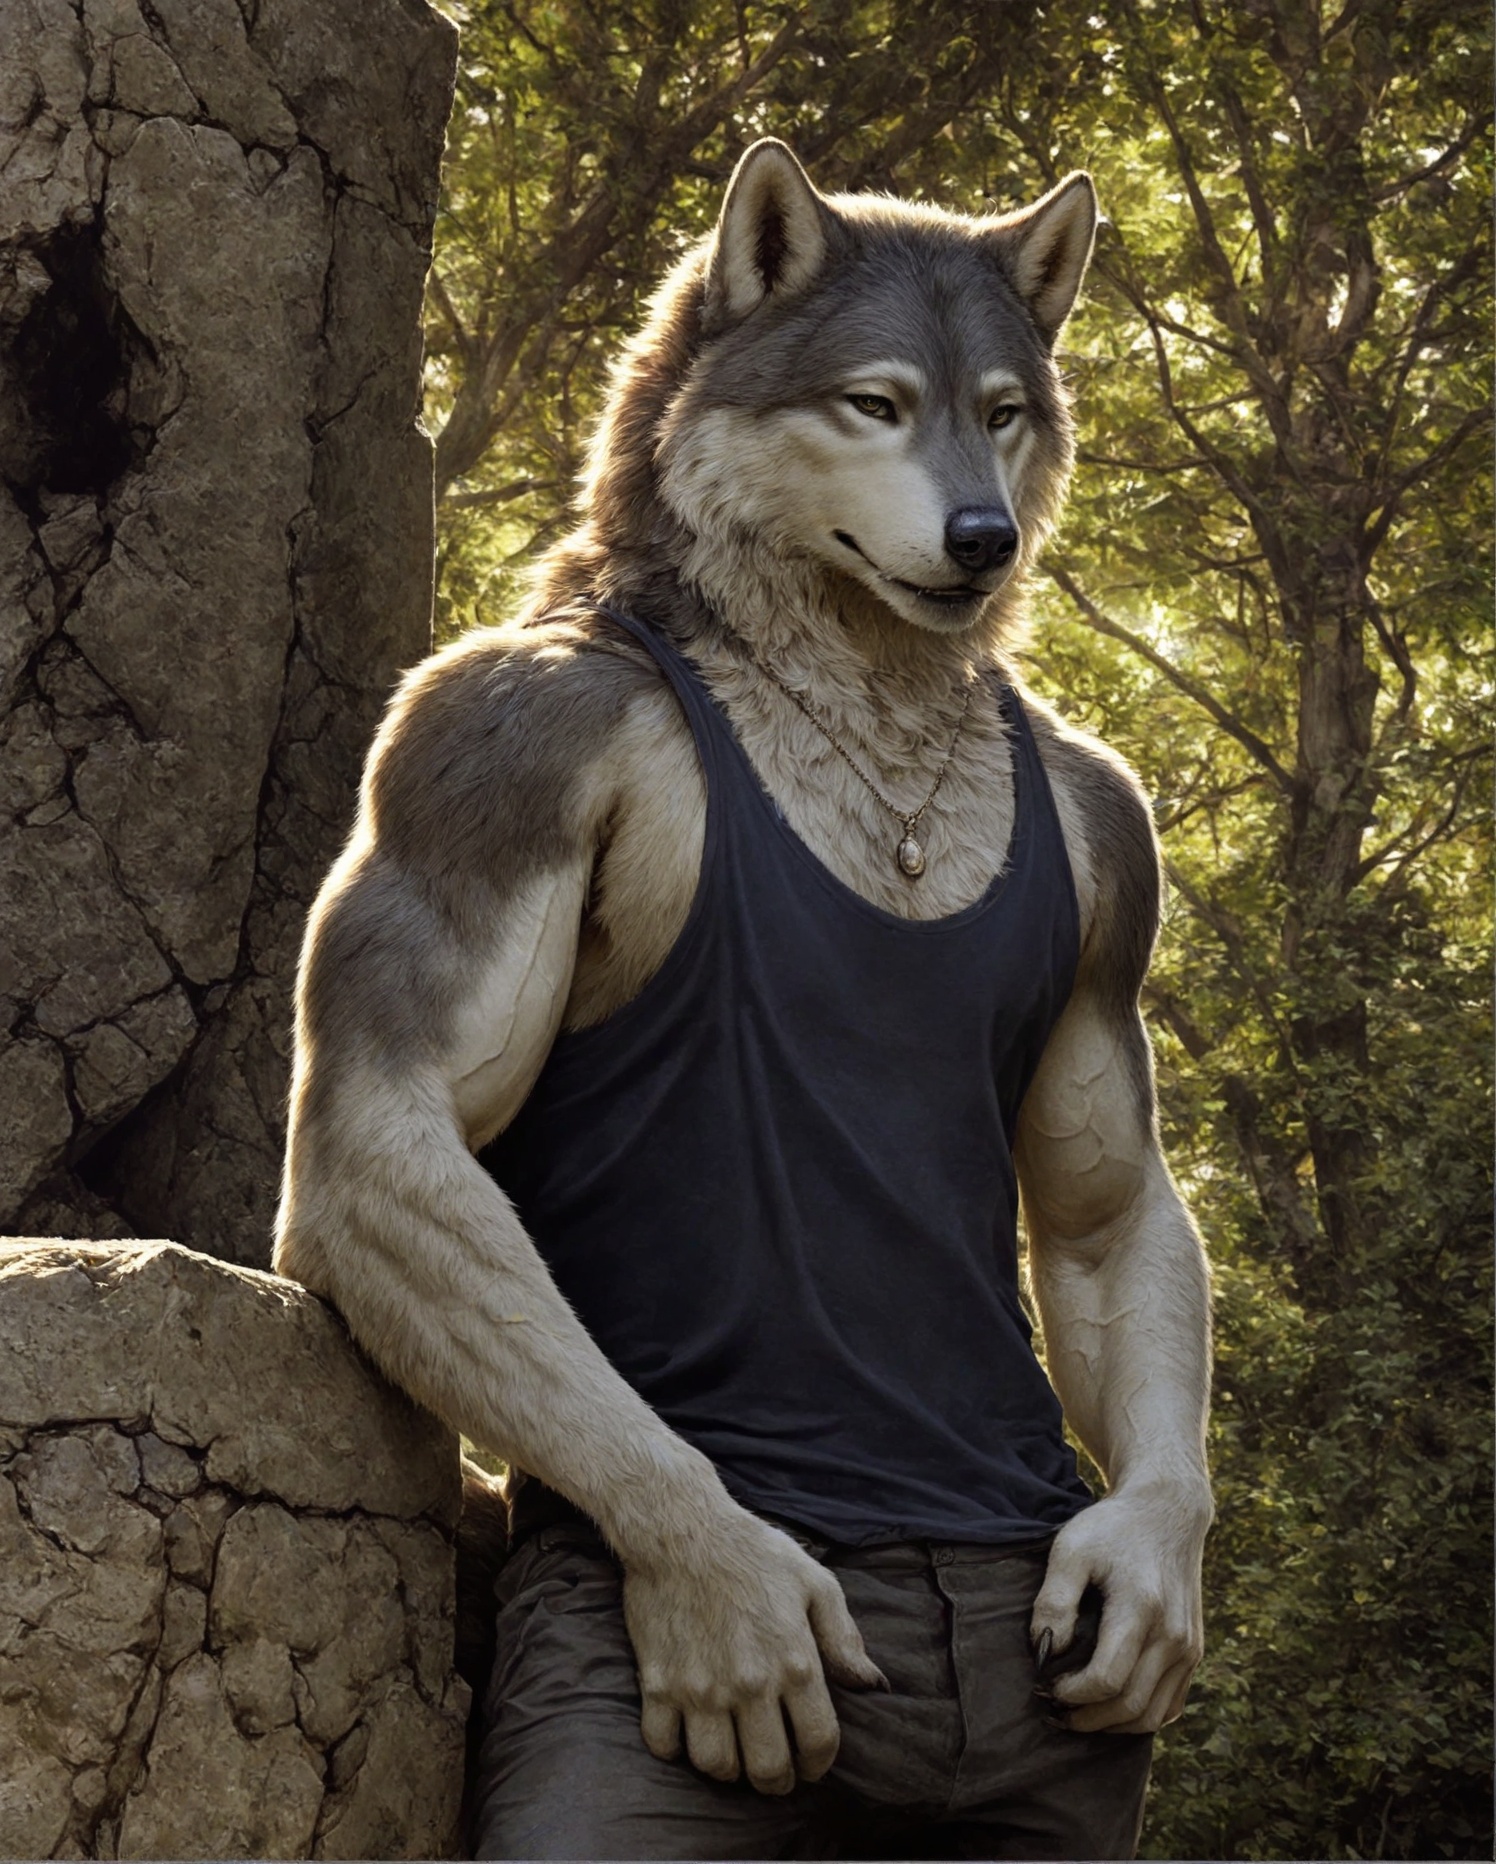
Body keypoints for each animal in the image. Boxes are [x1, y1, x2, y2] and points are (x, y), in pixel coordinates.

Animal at [275, 141, 1212, 1860]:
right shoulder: (485, 744)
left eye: (1003, 410)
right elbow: (392, 1119)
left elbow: (1104, 1203)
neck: (863, 702)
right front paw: (722, 1578)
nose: (984, 537)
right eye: (875, 404)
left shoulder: (1110, 836)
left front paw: (1149, 1574)